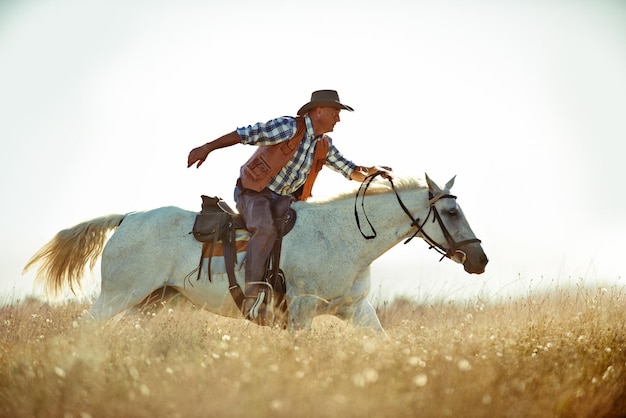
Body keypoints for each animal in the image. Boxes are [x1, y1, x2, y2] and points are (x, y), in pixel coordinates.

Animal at [23, 173, 482, 334]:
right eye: (451, 211)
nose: (481, 260)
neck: (344, 237)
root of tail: (127, 218)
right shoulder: (300, 310)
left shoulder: (355, 308)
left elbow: (382, 343)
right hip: (118, 296)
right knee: (81, 329)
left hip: (149, 304)